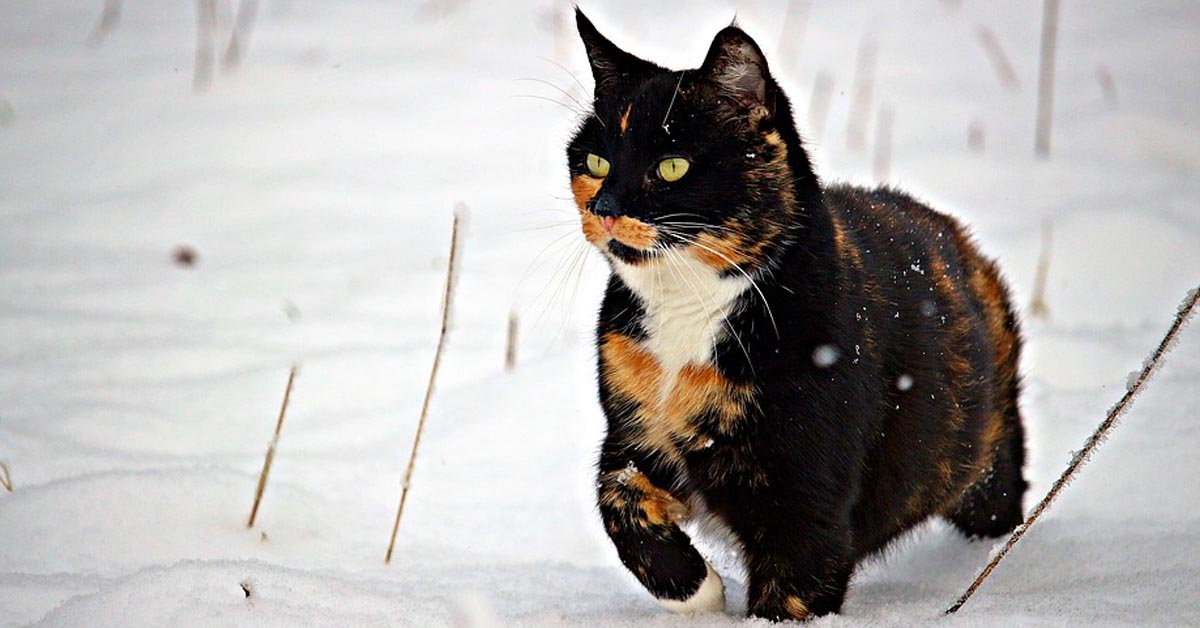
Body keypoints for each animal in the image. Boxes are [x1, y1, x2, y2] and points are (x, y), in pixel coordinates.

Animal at [566, 9, 1027, 624]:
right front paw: (696, 590)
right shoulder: (631, 425)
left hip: (982, 460)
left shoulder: (806, 491)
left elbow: (795, 581)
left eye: (672, 166)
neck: (687, 312)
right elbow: (618, 496)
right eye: (596, 161)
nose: (606, 208)